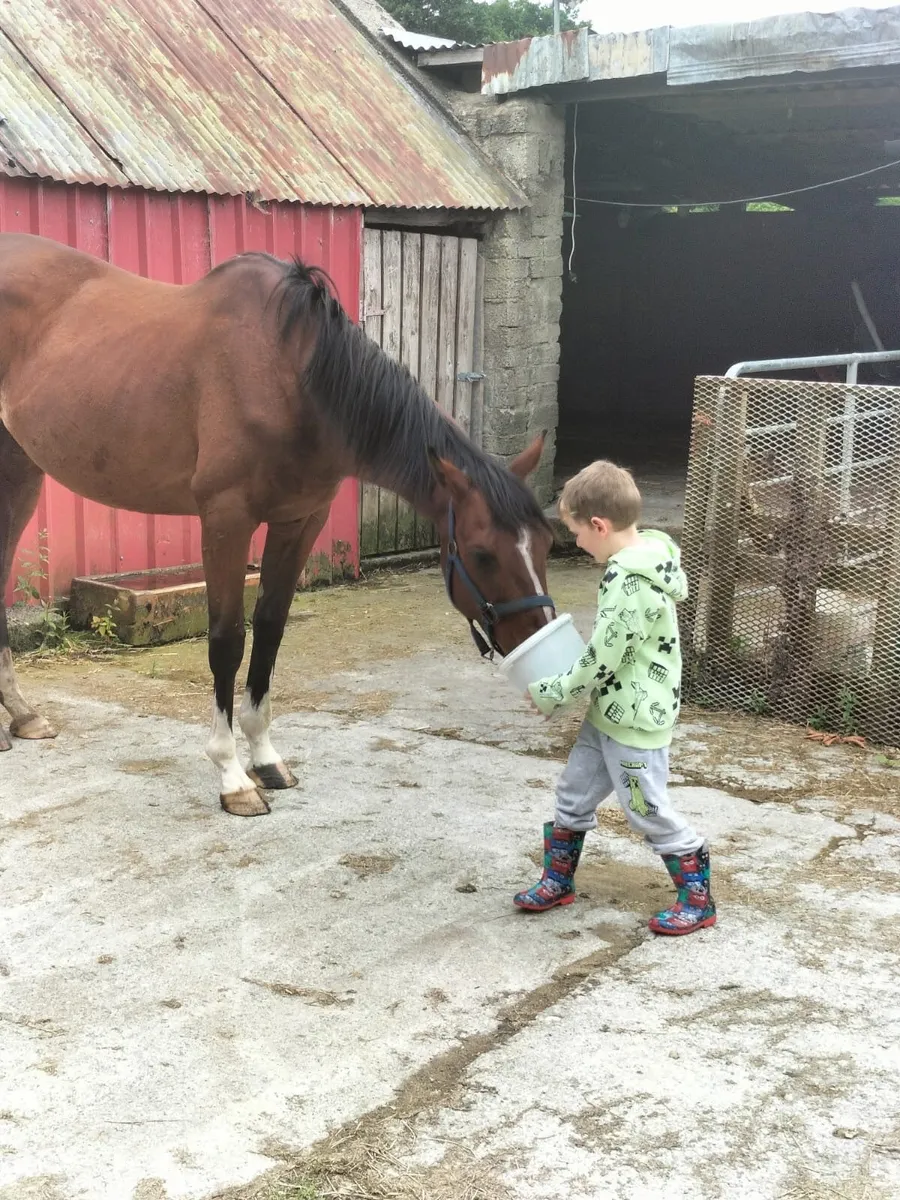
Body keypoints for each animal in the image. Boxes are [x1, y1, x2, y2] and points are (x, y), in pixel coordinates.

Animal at [0, 233, 556, 815]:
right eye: (481, 554)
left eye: (546, 543)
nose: (542, 651)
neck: (291, 378)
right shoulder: (225, 518)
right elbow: (227, 640)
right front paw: (231, 777)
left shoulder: (299, 520)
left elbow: (269, 629)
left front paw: (265, 758)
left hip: (21, 468)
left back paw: (23, 716)